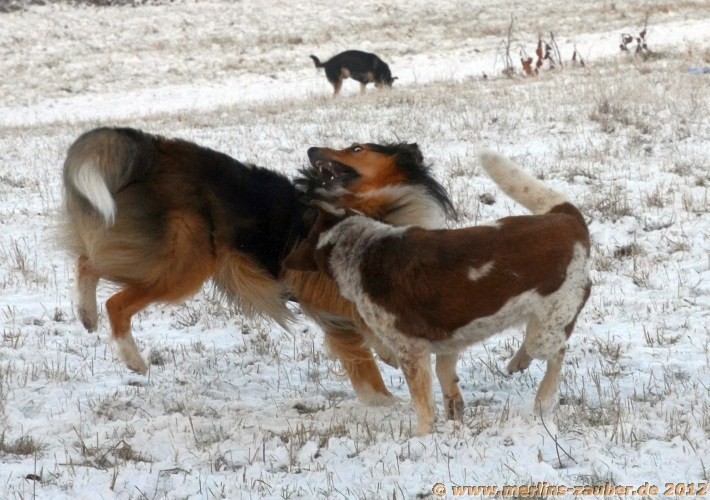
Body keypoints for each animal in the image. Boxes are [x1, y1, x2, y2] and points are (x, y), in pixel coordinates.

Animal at [61, 129, 455, 390]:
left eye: (357, 148)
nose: (312, 149)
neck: (371, 206)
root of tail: (155, 148)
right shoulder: (319, 290)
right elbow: (360, 335)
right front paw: (383, 397)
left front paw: (387, 354)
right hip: (185, 262)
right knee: (116, 301)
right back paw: (132, 358)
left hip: (161, 253)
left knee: (88, 261)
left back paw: (85, 313)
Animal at [283, 151, 592, 435]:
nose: (284, 261)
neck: (359, 245)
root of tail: (566, 218)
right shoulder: (450, 338)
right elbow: (446, 378)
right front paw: (454, 415)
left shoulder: (411, 350)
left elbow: (423, 403)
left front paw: (421, 436)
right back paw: (519, 361)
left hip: (549, 326)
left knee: (557, 353)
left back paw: (543, 398)